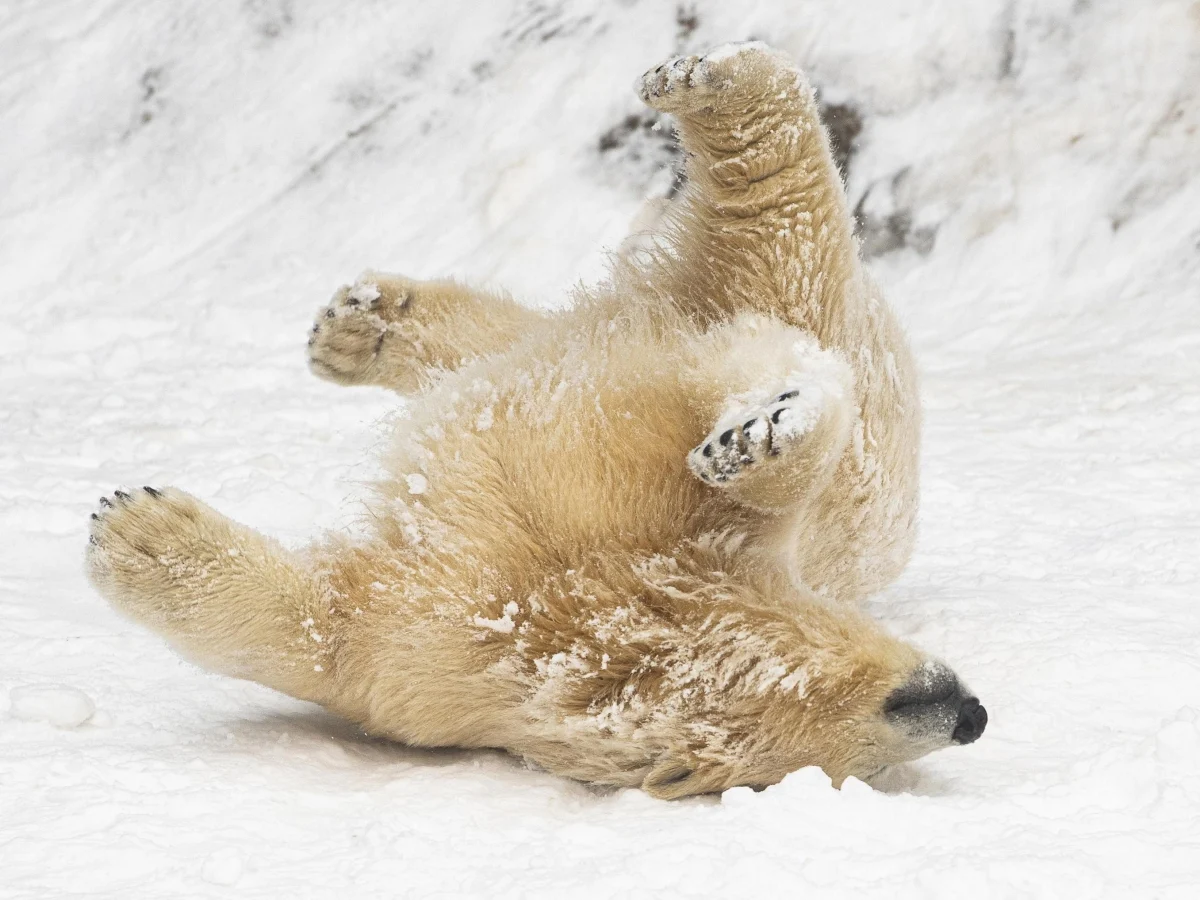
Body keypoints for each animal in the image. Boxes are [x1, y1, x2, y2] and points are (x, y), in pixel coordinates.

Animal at [86, 43, 987, 799]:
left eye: (862, 771)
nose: (970, 714)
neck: (625, 605)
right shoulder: (653, 455)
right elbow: (771, 387)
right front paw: (758, 433)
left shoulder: (460, 655)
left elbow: (326, 634)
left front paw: (138, 534)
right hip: (758, 307)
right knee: (780, 239)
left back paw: (364, 331)